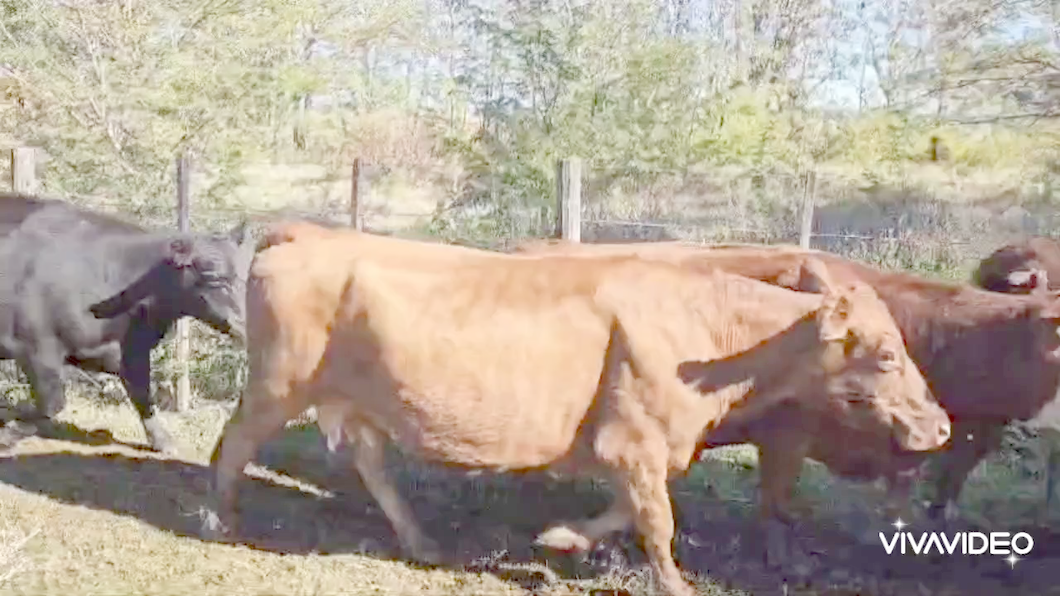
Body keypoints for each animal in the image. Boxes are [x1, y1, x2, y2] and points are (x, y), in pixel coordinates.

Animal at [0, 193, 252, 451]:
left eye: (247, 273)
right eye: (214, 278)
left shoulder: (132, 351)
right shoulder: (37, 349)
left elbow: (144, 396)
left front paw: (163, 441)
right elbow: (52, 403)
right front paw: (9, 432)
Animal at [202, 225, 949, 593]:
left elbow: (627, 511)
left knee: (370, 462)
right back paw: (219, 519)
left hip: (353, 398)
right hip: (277, 383)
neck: (707, 332)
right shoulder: (635, 440)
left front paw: (561, 538)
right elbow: (658, 522)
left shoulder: (632, 446)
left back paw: (419, 542)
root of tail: (306, 236)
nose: (940, 426)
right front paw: (675, 586)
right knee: (232, 443)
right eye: (886, 354)